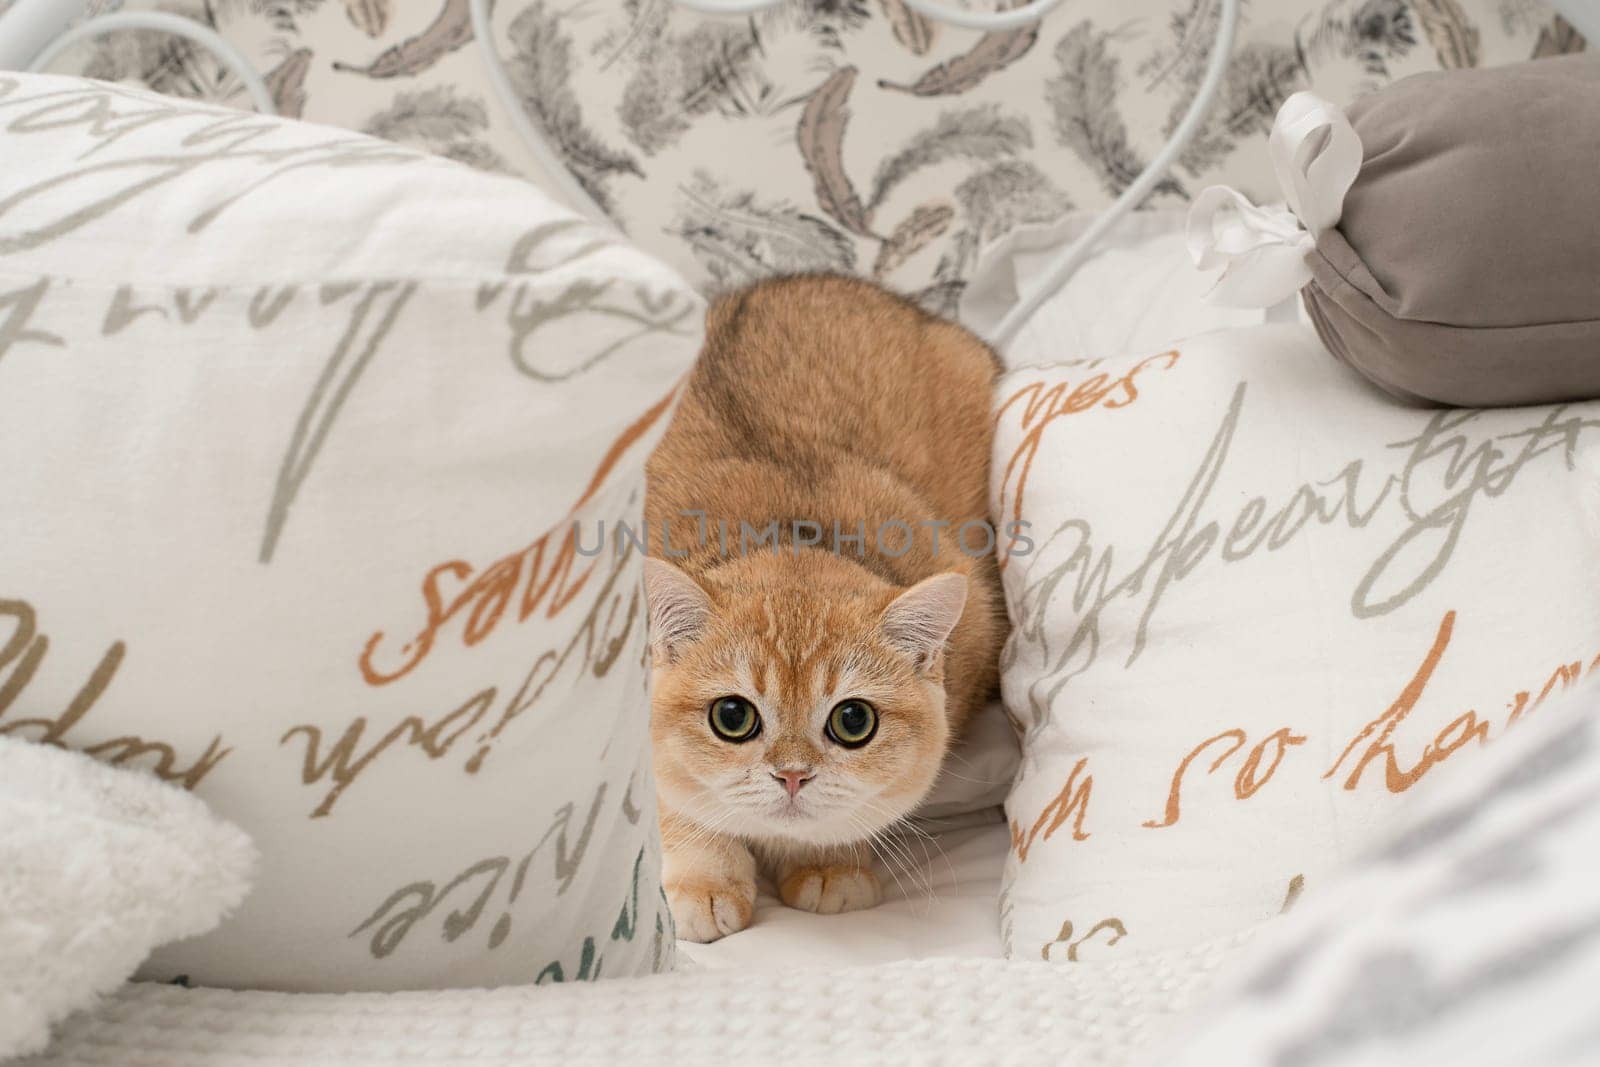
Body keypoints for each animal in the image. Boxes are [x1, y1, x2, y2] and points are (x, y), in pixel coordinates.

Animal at [643, 273, 1004, 940]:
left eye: (853, 722)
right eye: (732, 716)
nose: (792, 775)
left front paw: (831, 865)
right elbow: (678, 799)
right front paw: (705, 880)